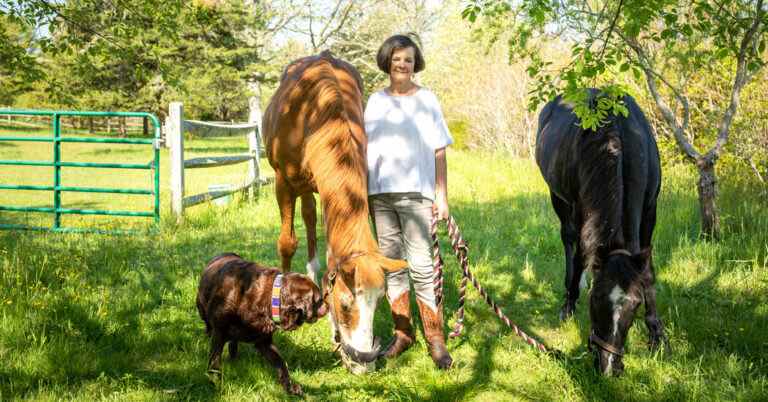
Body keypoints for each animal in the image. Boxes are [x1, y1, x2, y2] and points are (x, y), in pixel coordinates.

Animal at [262, 51, 408, 374]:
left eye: (379, 302)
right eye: (345, 304)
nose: (364, 365)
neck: (316, 113)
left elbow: (331, 256)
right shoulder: (283, 183)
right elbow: (287, 242)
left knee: (311, 219)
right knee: (304, 220)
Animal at [536, 89, 668, 376]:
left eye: (636, 303)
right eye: (595, 299)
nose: (608, 366)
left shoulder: (650, 208)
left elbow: (648, 269)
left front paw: (656, 333)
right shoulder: (579, 207)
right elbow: (579, 255)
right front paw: (569, 303)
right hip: (557, 197)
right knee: (568, 240)